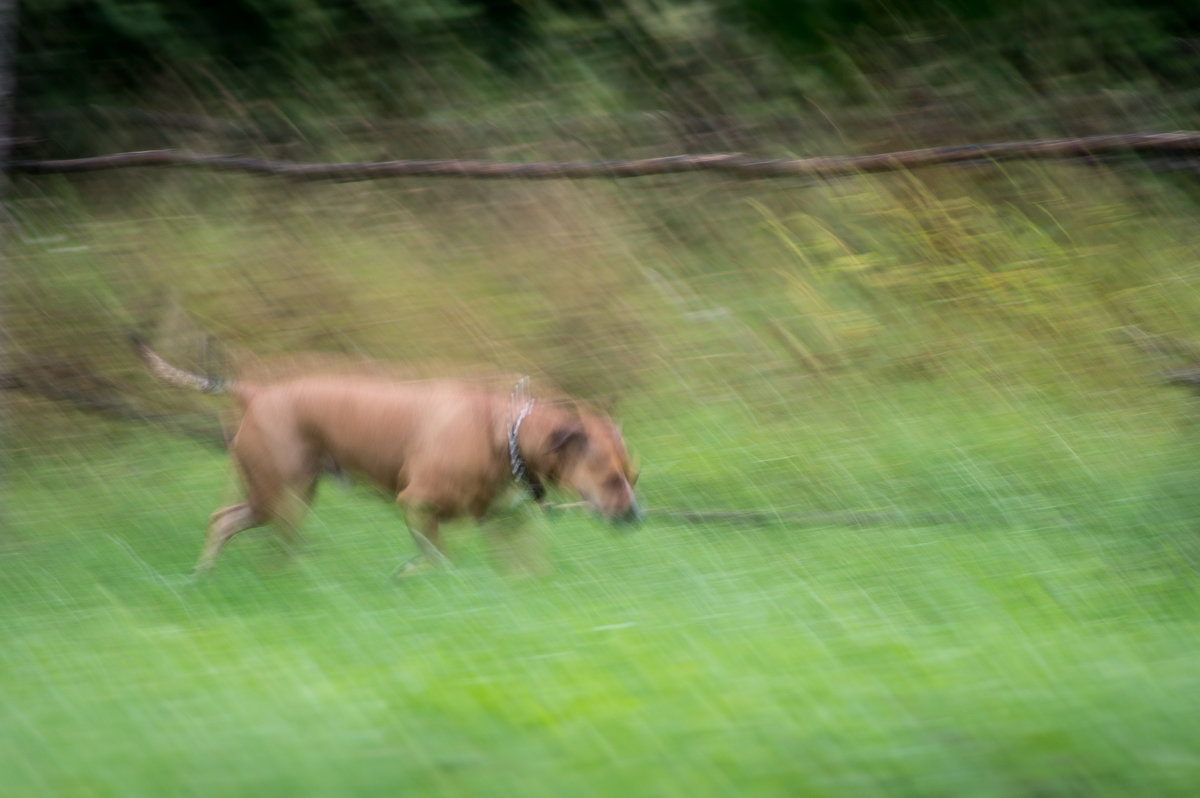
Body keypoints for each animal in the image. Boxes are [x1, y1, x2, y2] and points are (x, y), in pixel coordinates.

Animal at [132, 336, 643, 573]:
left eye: (633, 477)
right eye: (610, 478)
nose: (637, 516)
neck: (505, 431)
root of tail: (255, 391)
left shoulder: (505, 523)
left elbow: (523, 567)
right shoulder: (416, 505)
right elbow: (439, 559)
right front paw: (424, 576)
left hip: (276, 495)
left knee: (225, 521)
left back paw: (205, 576)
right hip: (281, 495)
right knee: (255, 531)